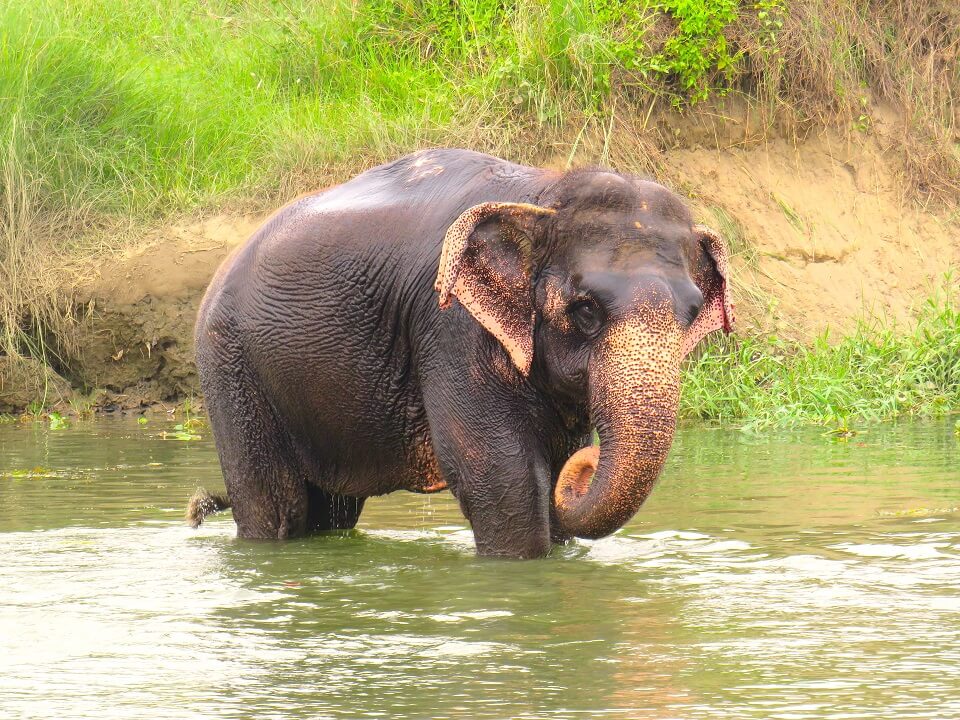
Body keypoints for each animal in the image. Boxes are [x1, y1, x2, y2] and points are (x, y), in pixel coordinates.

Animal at [189, 149, 736, 560]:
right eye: (584, 310)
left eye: (691, 313)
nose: (587, 463)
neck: (545, 197)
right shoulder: (452, 327)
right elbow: (501, 475)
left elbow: (546, 472)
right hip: (229, 363)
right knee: (277, 506)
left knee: (331, 510)